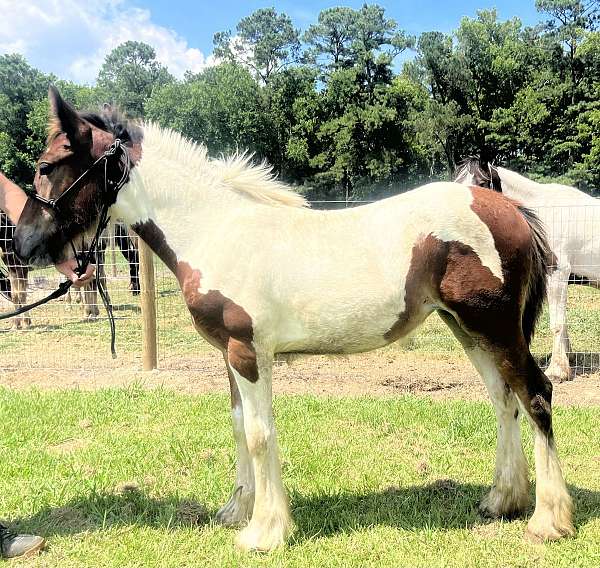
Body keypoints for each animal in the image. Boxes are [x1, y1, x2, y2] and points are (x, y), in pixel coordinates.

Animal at [11, 87, 576, 552]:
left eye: (49, 165)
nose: (22, 244)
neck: (216, 230)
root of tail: (507, 208)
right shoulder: (230, 356)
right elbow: (239, 426)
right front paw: (236, 511)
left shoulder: (248, 353)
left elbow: (260, 433)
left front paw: (264, 532)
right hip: (468, 329)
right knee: (503, 398)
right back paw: (502, 500)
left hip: (495, 326)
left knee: (536, 394)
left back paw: (548, 520)